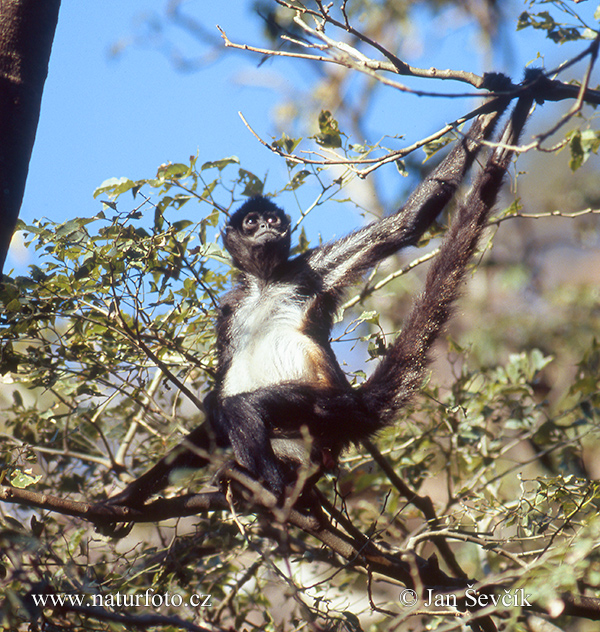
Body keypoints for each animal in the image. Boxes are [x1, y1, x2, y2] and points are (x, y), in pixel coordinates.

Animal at [105, 85, 532, 508]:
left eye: (272, 220)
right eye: (251, 223)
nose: (268, 228)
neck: (265, 282)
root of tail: (359, 406)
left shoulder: (309, 269)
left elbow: (405, 225)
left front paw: (494, 104)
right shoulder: (230, 305)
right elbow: (214, 403)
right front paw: (125, 496)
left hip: (332, 408)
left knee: (246, 405)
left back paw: (275, 486)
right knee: (222, 407)